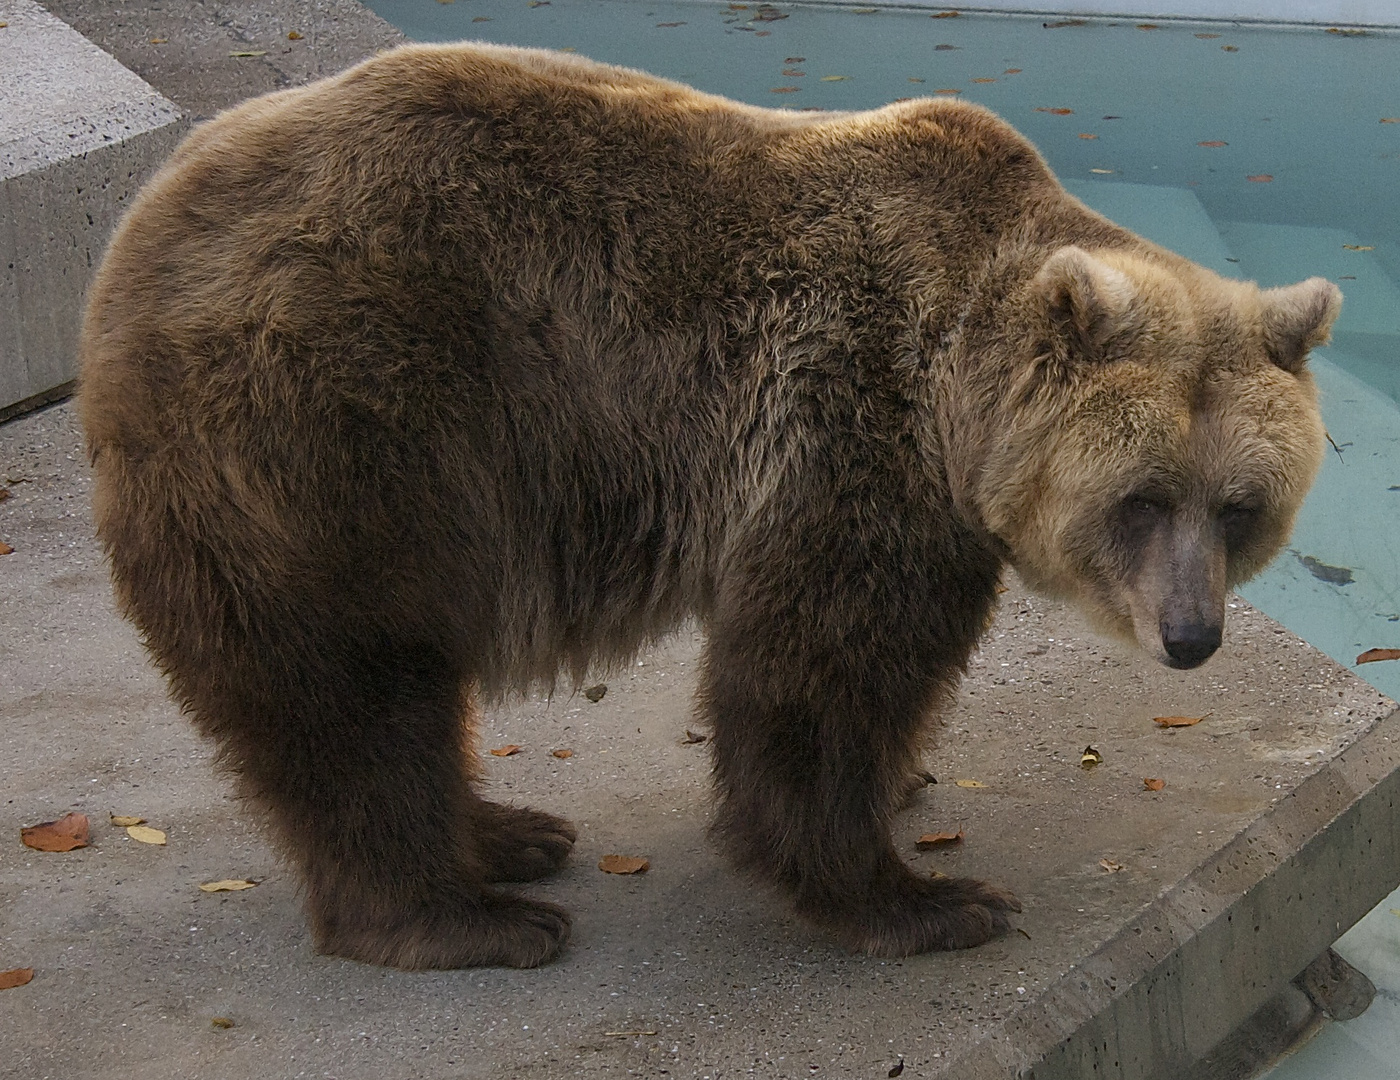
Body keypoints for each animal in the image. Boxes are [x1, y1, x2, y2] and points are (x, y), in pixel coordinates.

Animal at [76, 42, 1332, 969]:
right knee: (354, 683)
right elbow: (814, 673)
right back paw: (463, 915)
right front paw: (923, 897)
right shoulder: (844, 430)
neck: (955, 406)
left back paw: (510, 833)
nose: (1189, 636)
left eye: (1236, 508)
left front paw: (906, 778)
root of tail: (141, 226)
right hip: (338, 419)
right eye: (1140, 499)